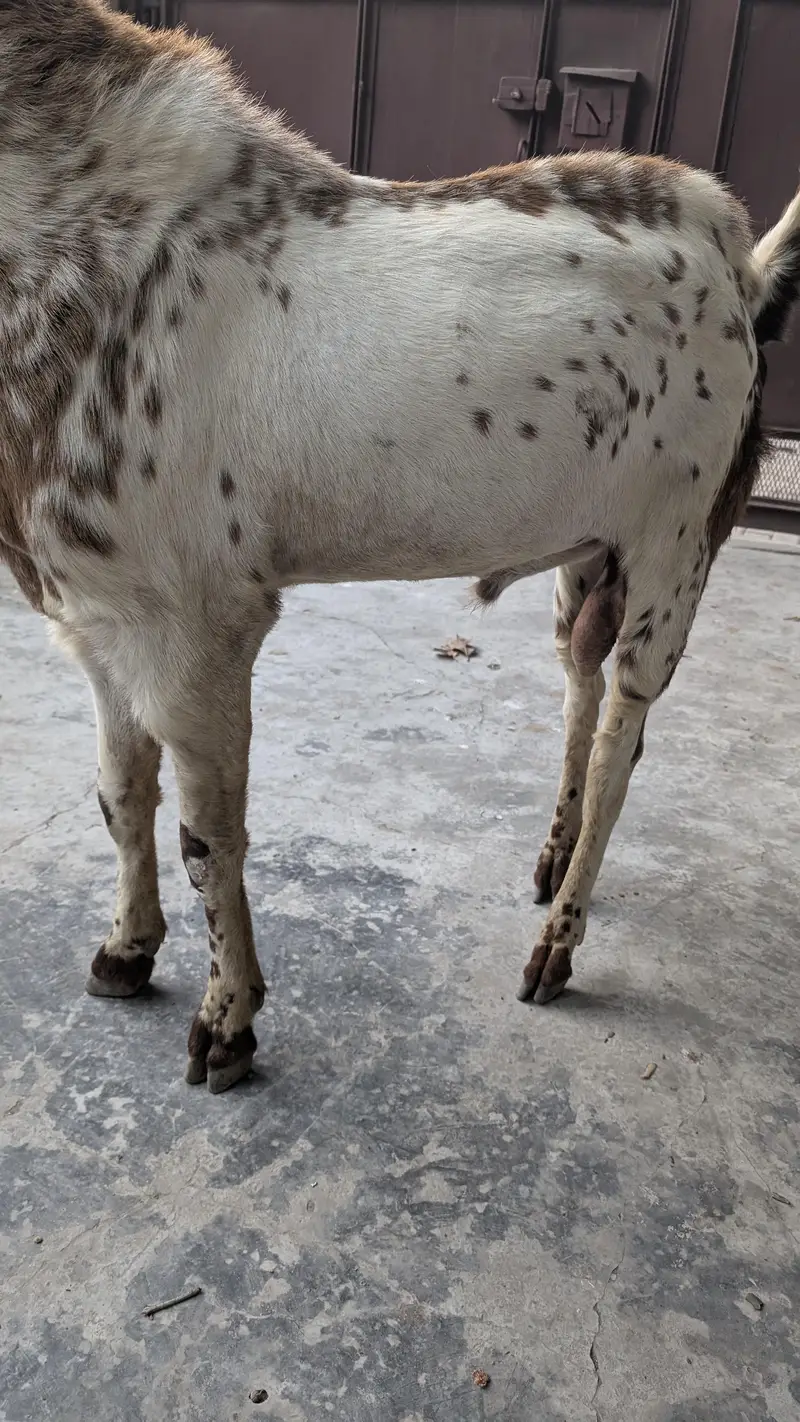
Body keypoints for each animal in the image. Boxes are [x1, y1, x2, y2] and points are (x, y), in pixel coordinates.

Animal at [2, 0, 799, 1092]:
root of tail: (735, 261)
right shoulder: (97, 622)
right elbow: (121, 796)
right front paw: (127, 949)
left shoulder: (198, 630)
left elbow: (209, 837)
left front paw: (228, 1020)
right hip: (590, 551)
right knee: (582, 684)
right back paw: (553, 855)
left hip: (674, 551)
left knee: (624, 735)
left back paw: (558, 940)